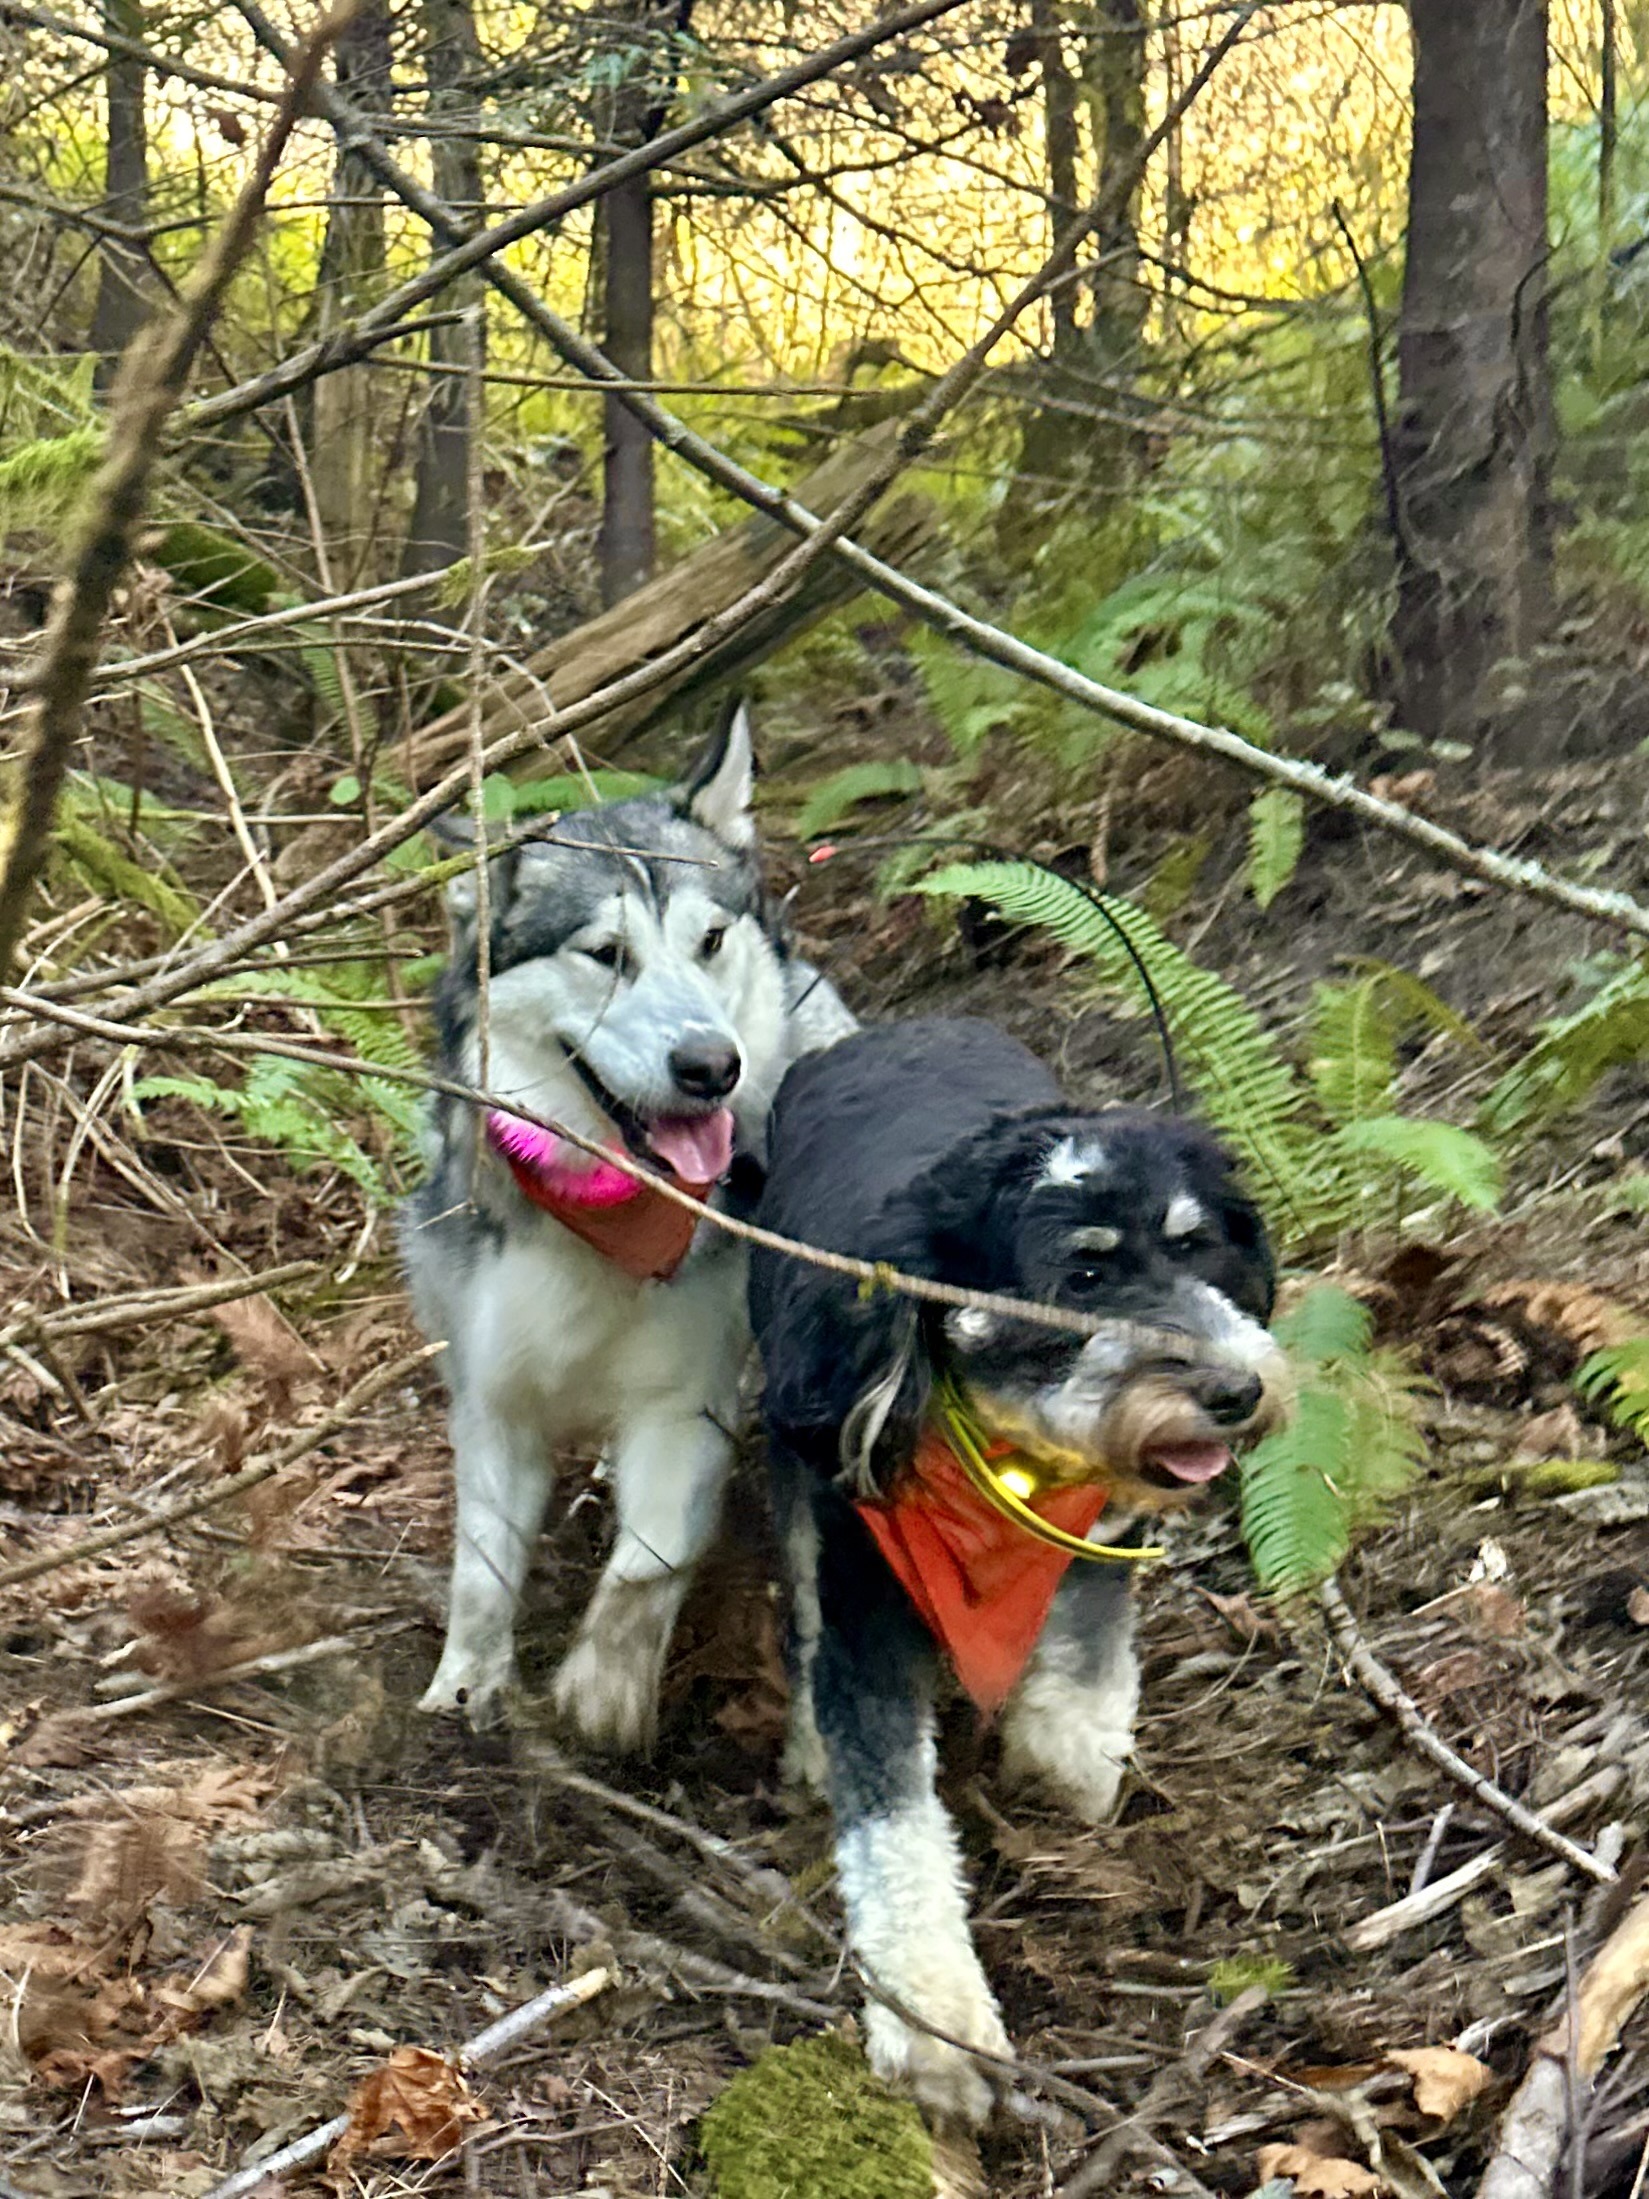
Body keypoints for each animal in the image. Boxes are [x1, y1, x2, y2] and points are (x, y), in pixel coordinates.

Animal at [406, 712, 857, 1741]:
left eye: (710, 939)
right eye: (606, 953)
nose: (711, 1066)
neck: (604, 1209)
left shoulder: (685, 1403)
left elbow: (650, 1562)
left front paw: (603, 1687)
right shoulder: (492, 1400)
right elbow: (479, 1572)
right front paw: (464, 1688)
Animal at [747, 1015, 1292, 2128]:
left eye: (1195, 1246)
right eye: (1079, 1279)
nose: (1236, 1391)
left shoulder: (1092, 1536)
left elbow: (1079, 1670)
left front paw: (1068, 1778)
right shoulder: (858, 1574)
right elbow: (891, 1825)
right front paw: (933, 2026)